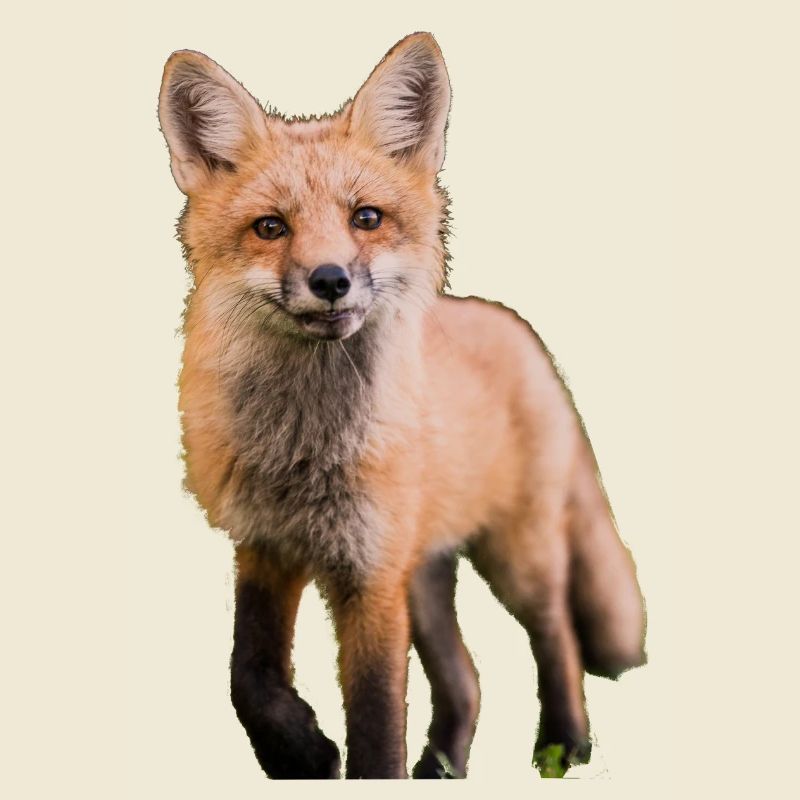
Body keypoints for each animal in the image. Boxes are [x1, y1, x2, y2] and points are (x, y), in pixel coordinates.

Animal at [158, 32, 646, 780]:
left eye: (366, 218)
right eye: (270, 227)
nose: (330, 279)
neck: (305, 450)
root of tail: (515, 325)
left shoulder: (371, 573)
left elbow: (377, 718)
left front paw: (340, 757)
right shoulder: (266, 546)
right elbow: (249, 675)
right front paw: (299, 750)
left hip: (516, 556)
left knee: (556, 633)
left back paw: (564, 742)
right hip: (425, 574)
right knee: (468, 676)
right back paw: (445, 763)